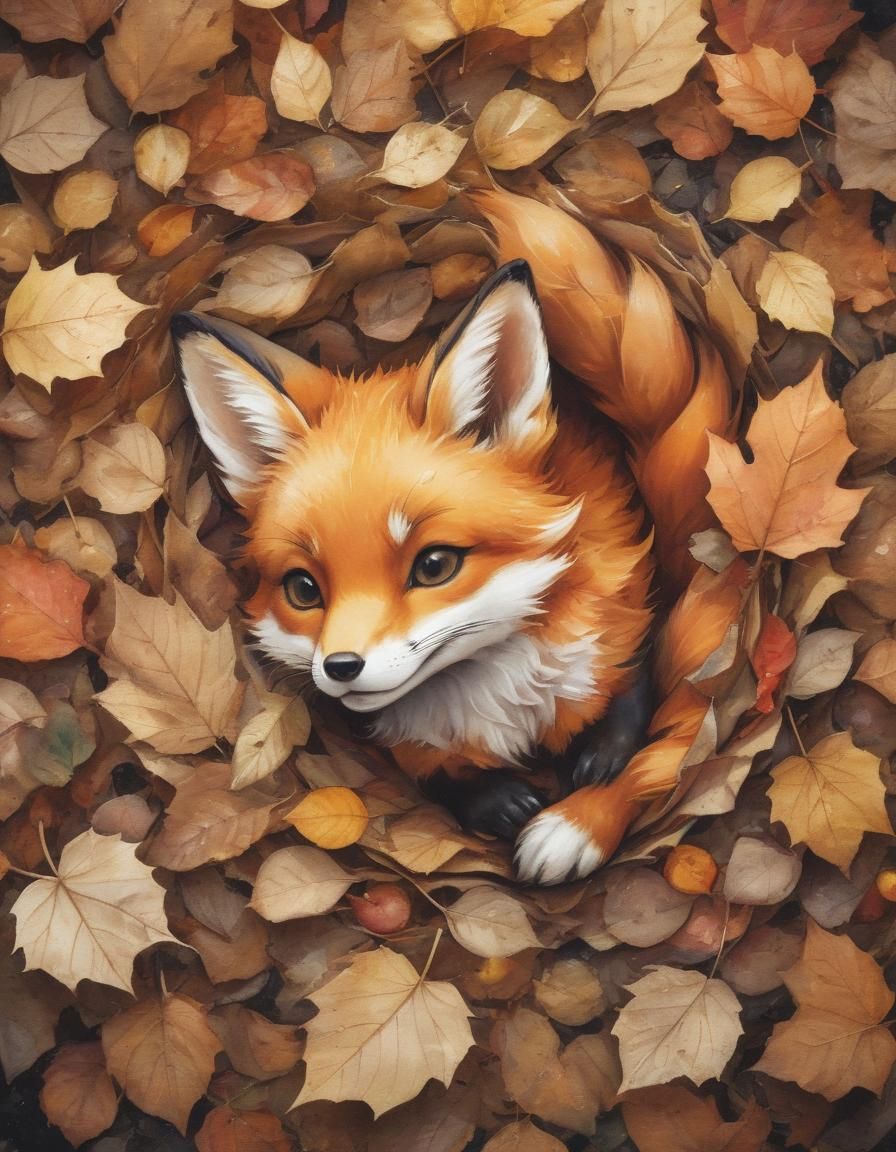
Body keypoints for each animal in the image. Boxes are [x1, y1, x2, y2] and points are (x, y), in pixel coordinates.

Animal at [172, 188, 744, 884]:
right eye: (303, 589)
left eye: (434, 565)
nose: (341, 667)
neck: (490, 695)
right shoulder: (407, 748)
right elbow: (449, 781)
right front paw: (497, 801)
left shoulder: (625, 626)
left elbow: (650, 737)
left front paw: (583, 814)